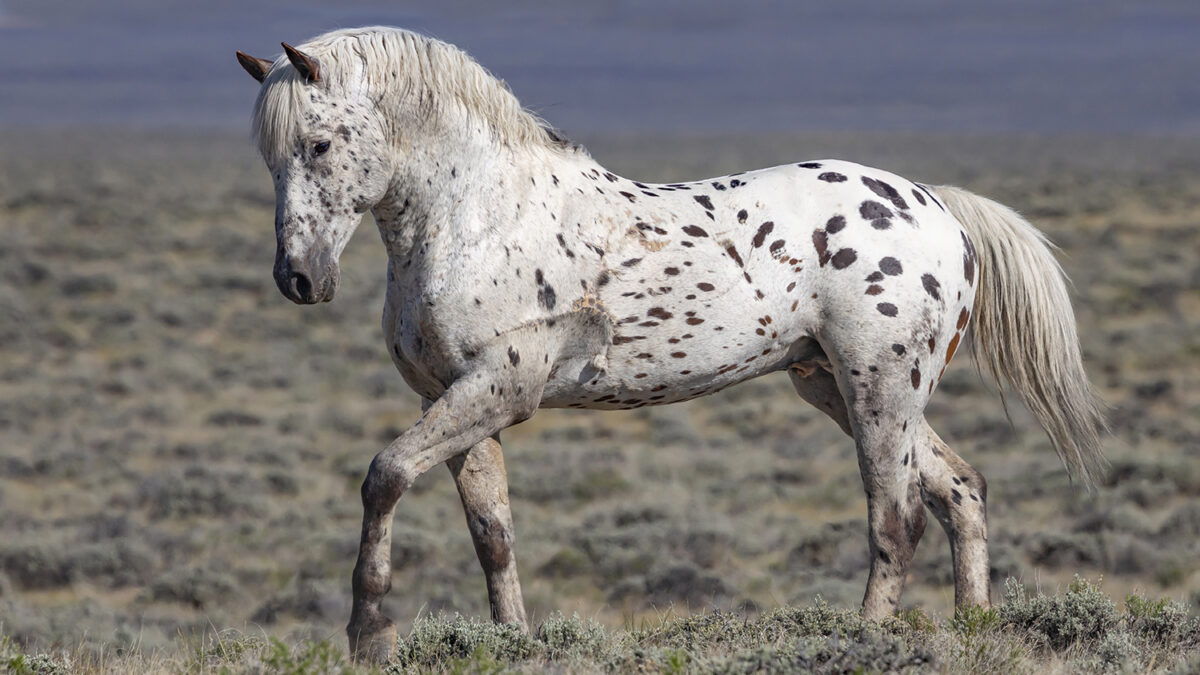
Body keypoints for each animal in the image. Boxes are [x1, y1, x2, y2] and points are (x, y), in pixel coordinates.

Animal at [236, 26, 1106, 664]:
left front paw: (368, 634)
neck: (477, 217)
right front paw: (512, 640)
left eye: (318, 144)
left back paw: (866, 638)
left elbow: (384, 475)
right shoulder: (449, 397)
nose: (298, 278)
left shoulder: (500, 387)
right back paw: (973, 627)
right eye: (270, 155)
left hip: (879, 386)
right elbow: (492, 533)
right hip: (831, 382)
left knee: (897, 517)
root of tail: (941, 210)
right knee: (961, 489)